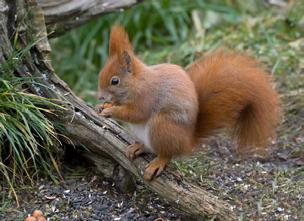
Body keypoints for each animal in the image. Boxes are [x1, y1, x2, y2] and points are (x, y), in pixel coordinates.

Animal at [96, 25, 282, 181]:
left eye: (115, 81)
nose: (100, 97)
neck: (137, 82)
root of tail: (188, 141)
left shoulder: (146, 97)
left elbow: (135, 113)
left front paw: (110, 111)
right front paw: (104, 107)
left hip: (162, 126)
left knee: (167, 153)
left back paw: (157, 163)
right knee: (150, 148)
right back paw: (138, 147)